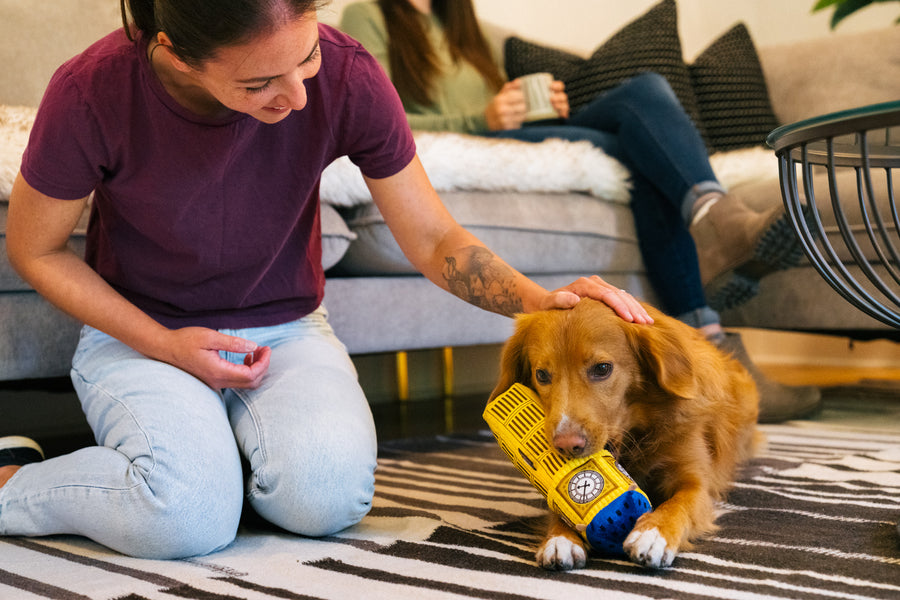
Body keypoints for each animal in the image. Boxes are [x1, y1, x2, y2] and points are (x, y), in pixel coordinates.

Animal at [492, 298, 760, 568]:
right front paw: (560, 539)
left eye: (602, 368)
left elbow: (678, 505)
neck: (639, 434)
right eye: (542, 375)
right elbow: (559, 507)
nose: (566, 445)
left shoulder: (696, 483)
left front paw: (653, 533)